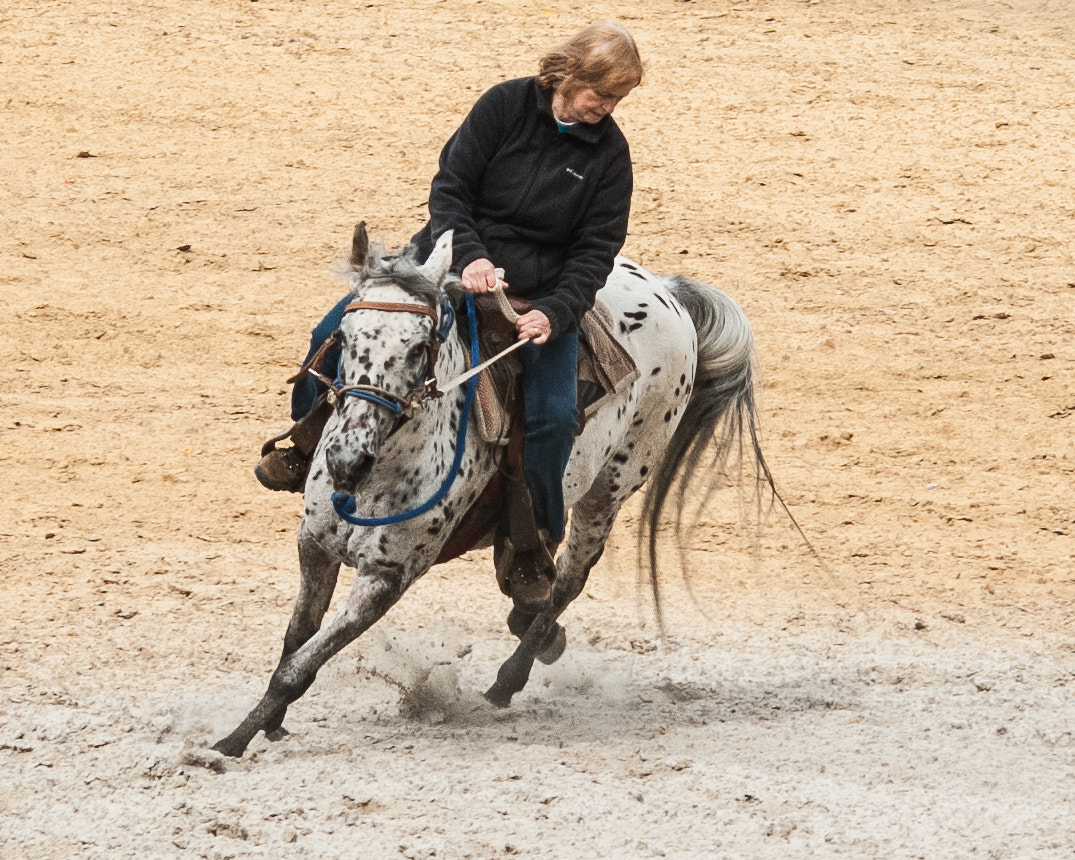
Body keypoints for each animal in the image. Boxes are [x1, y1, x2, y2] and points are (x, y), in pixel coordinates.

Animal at [209, 223, 782, 761]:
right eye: (346, 339)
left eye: (419, 348)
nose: (348, 460)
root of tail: (666, 291)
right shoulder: (315, 548)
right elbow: (295, 642)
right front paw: (270, 723)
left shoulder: (385, 579)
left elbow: (301, 663)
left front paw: (231, 742)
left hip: (610, 490)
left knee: (569, 579)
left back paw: (509, 678)